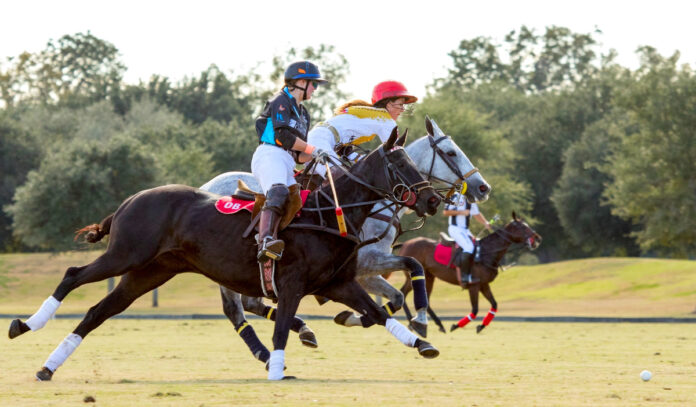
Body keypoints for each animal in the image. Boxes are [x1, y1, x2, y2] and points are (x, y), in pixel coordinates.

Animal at [9, 130, 440, 382]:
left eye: (413, 160)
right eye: (398, 163)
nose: (434, 200)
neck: (329, 212)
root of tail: (129, 201)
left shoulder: (338, 283)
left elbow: (378, 312)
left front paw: (422, 344)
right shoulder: (292, 283)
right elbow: (283, 325)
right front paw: (278, 368)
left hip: (148, 273)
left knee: (98, 311)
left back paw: (47, 366)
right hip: (126, 255)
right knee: (72, 274)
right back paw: (24, 325)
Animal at [201, 116, 492, 364]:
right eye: (452, 153)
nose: (483, 187)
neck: (373, 203)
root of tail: (205, 186)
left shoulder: (362, 271)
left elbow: (396, 297)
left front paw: (348, 317)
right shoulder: (365, 264)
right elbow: (410, 271)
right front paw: (420, 322)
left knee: (250, 303)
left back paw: (301, 332)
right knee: (236, 309)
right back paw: (270, 350)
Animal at [392, 214, 540, 334]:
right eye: (522, 227)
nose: (537, 238)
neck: (486, 252)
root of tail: (406, 243)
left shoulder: (484, 285)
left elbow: (494, 304)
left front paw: (481, 326)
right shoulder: (473, 286)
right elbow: (475, 309)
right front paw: (456, 325)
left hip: (428, 276)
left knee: (418, 296)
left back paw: (434, 324)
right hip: (417, 276)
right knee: (404, 293)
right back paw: (414, 323)